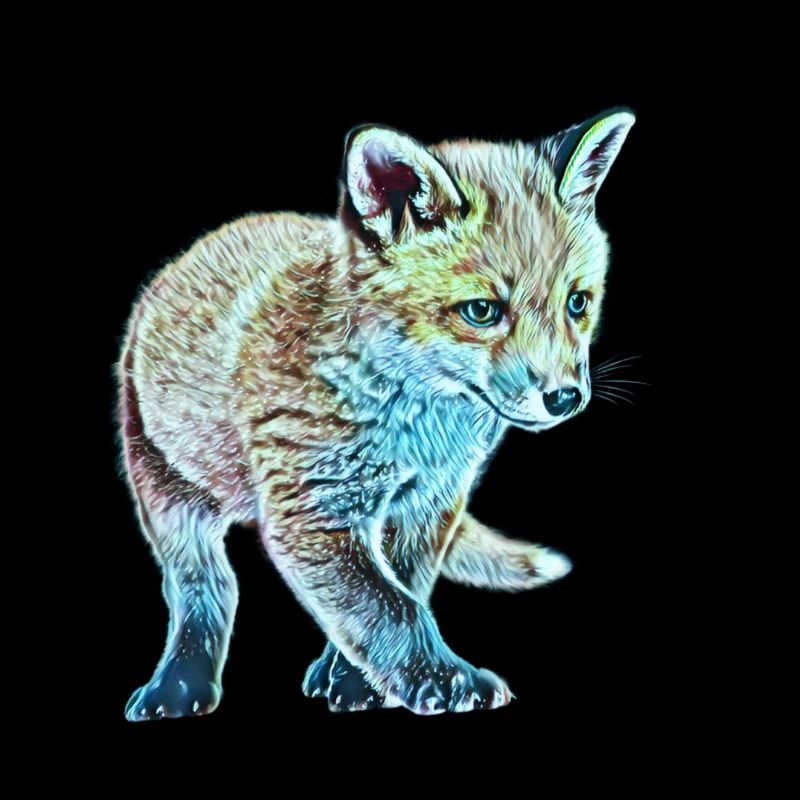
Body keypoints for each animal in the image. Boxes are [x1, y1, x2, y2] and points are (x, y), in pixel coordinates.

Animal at [118, 107, 635, 720]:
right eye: (482, 311)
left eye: (577, 303)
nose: (564, 397)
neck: (417, 425)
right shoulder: (310, 507)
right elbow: (388, 610)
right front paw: (445, 680)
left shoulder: (430, 502)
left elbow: (399, 591)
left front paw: (355, 683)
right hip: (166, 489)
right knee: (204, 587)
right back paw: (180, 684)